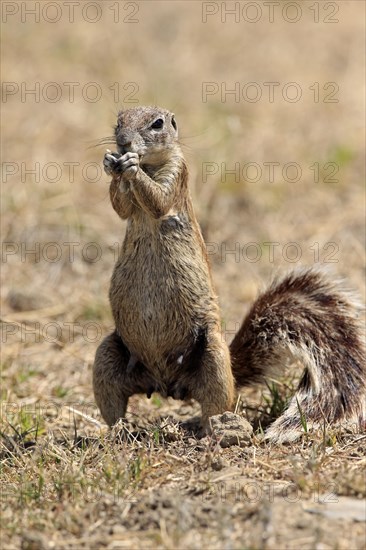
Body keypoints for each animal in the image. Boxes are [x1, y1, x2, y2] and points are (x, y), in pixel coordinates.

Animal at [92, 106, 366, 444]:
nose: (123, 143)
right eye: (118, 121)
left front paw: (129, 167)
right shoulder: (131, 205)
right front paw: (110, 163)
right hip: (107, 358)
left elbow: (158, 200)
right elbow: (121, 207)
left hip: (213, 359)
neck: (150, 163)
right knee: (114, 405)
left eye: (157, 124)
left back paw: (214, 432)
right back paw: (116, 432)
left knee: (216, 403)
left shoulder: (177, 174)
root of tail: (166, 384)